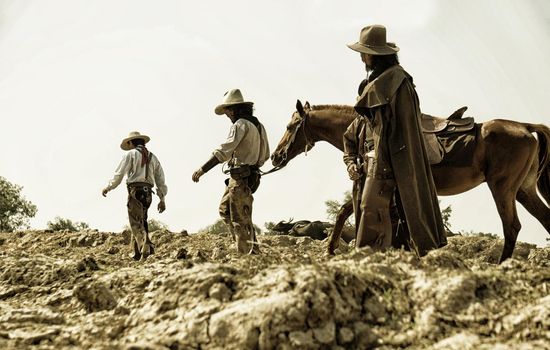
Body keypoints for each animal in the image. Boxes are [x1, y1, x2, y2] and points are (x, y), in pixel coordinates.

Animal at [272, 100, 550, 262]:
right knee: (544, 220)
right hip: (523, 191)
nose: (276, 156)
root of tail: (525, 127)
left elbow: (344, 211)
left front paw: (330, 249)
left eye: (289, 126)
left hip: (502, 188)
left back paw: (502, 265)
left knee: (511, 226)